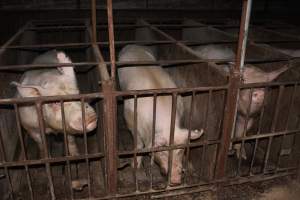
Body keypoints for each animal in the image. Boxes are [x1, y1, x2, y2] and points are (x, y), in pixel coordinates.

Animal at [117, 44, 204, 185]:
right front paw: (135, 166)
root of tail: (132, 45)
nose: (175, 179)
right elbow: (139, 145)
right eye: (162, 151)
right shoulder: (130, 119)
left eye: (180, 150)